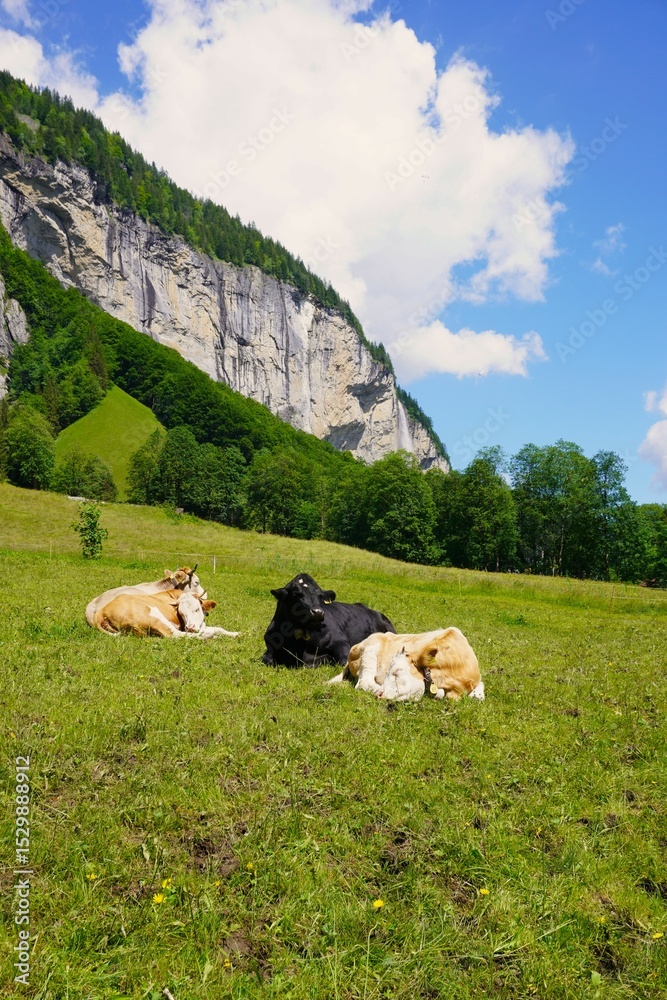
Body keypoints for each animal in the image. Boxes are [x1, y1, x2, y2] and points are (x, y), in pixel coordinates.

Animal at [93, 589, 239, 639]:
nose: (190, 627)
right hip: (154, 615)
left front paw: (237, 634)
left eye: (197, 609)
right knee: (173, 634)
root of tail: (103, 609)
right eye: (181, 613)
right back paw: (209, 636)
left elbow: (220, 628)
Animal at [262, 572, 396, 666]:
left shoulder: (341, 641)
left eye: (320, 595)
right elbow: (266, 659)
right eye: (296, 594)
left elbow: (344, 662)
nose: (318, 612)